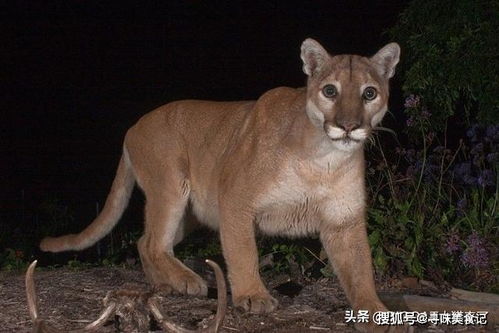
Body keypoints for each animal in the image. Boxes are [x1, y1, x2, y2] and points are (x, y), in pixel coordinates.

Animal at [42, 39, 402, 330]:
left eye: (369, 93)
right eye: (330, 90)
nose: (348, 126)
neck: (322, 160)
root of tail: (133, 127)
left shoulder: (344, 219)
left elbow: (360, 268)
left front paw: (374, 311)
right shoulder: (235, 199)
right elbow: (244, 252)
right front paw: (253, 296)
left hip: (190, 214)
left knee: (146, 242)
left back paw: (166, 284)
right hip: (171, 186)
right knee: (155, 242)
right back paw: (187, 281)